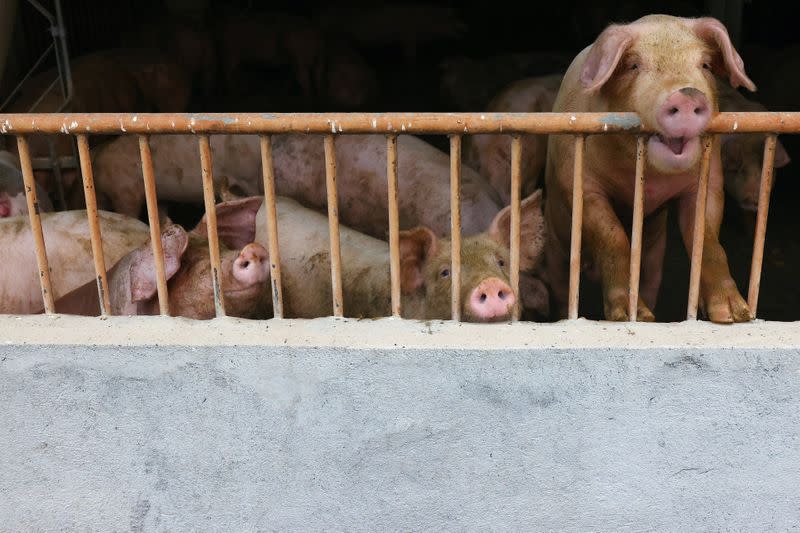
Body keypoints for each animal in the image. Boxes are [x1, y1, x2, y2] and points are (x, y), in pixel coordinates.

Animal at [544, 14, 756, 322]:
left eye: (705, 64)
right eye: (633, 65)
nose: (687, 94)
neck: (652, 179)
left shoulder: (709, 182)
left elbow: (707, 240)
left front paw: (734, 314)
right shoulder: (579, 183)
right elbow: (614, 237)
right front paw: (626, 316)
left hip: (654, 256)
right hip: (556, 247)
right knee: (561, 290)